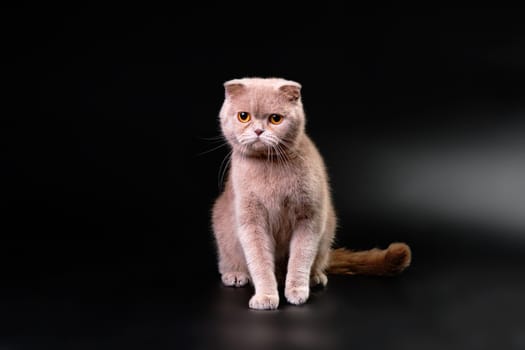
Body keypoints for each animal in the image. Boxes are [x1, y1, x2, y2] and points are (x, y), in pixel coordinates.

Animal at [211, 77, 412, 308]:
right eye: (243, 116)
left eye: (275, 119)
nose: (258, 131)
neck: (269, 166)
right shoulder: (251, 220)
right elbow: (260, 261)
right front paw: (266, 297)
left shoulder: (310, 216)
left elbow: (300, 257)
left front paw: (297, 290)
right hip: (222, 227)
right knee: (229, 260)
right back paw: (235, 275)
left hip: (328, 229)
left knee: (315, 261)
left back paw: (314, 277)